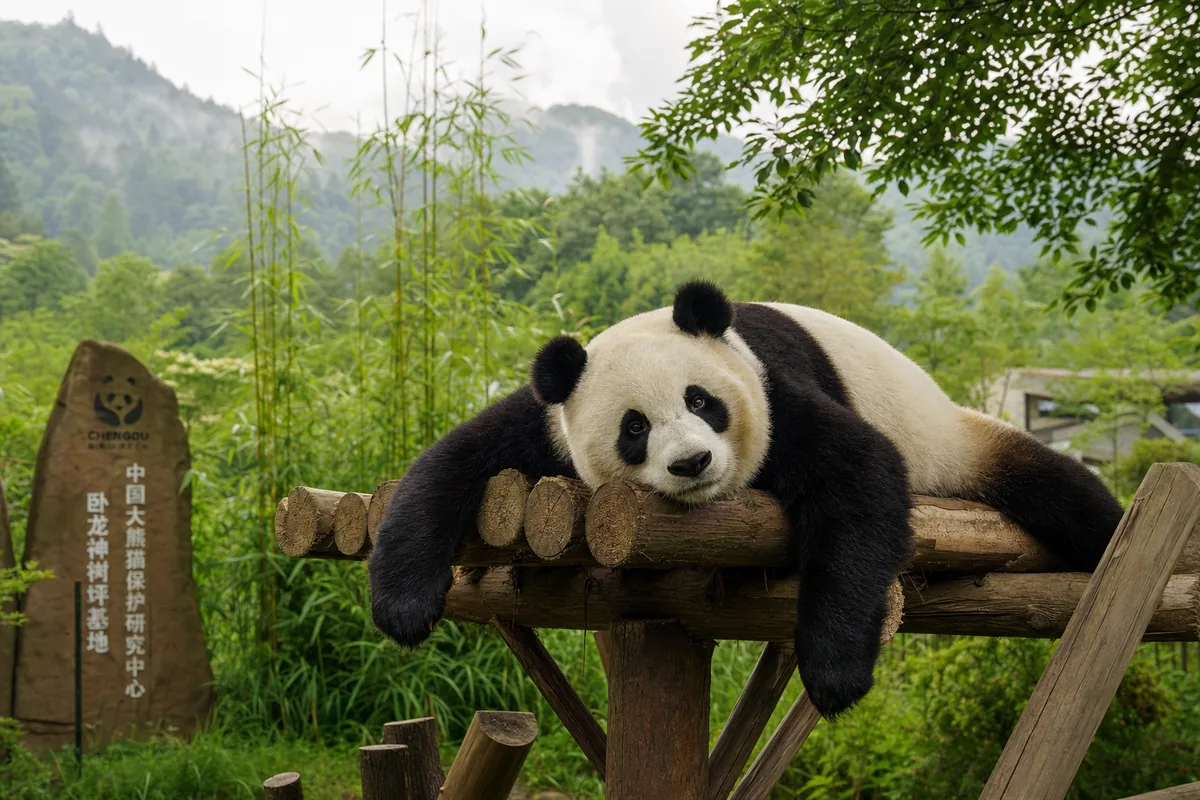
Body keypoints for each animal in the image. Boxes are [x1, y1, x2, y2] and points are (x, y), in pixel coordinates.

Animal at [369, 281, 1123, 719]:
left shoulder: (773, 388)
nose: (692, 462)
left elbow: (859, 476)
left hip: (957, 441)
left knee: (1068, 498)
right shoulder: (551, 421)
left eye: (702, 401)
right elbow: (452, 461)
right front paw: (403, 607)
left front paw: (834, 675)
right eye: (634, 428)